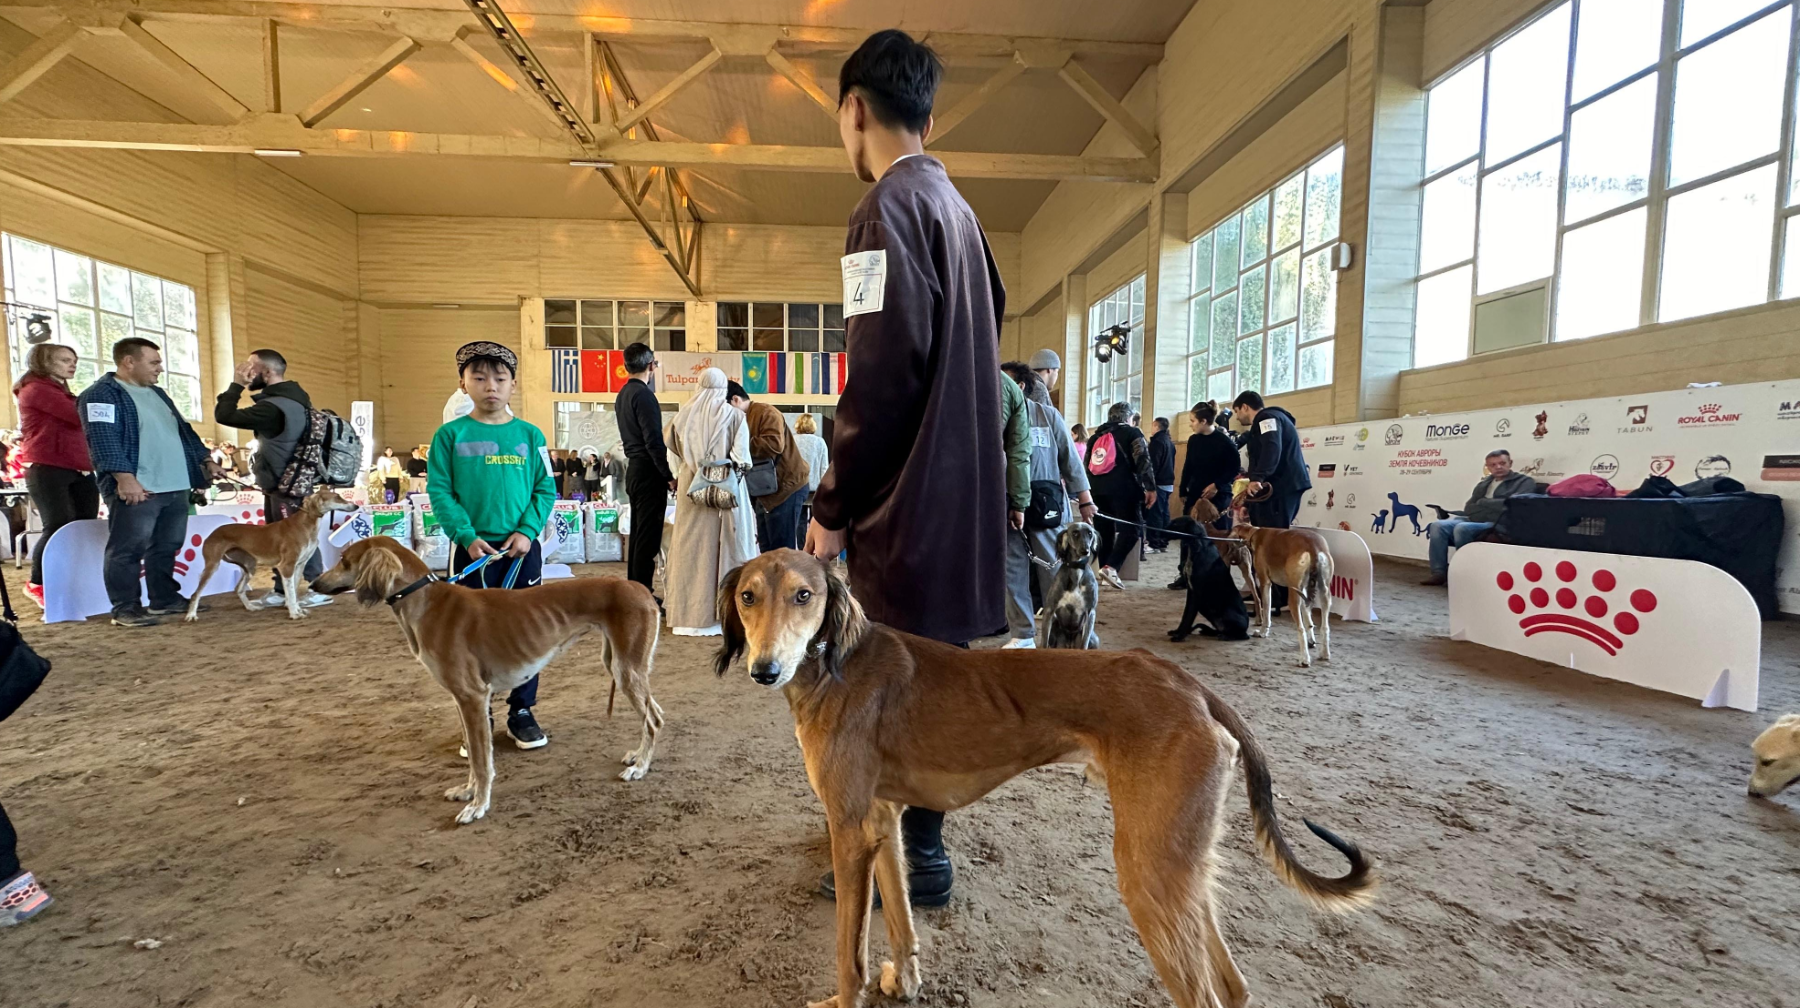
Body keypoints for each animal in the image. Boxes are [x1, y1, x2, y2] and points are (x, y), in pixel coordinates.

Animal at [183, 489, 358, 622]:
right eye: (337, 497)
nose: (356, 505)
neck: (304, 524)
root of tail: (212, 533)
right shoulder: (286, 566)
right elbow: (291, 593)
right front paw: (294, 613)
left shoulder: (299, 565)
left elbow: (293, 591)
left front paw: (297, 609)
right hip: (212, 566)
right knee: (196, 594)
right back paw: (191, 615)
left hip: (249, 567)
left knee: (238, 589)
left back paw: (250, 607)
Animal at [307, 540, 662, 824]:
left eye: (345, 560)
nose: (312, 584)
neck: (426, 601)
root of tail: (642, 589)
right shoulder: (461, 700)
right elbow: (474, 755)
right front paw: (467, 792)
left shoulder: (473, 697)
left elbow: (481, 761)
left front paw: (477, 806)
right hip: (619, 664)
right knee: (655, 714)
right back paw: (636, 756)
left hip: (626, 669)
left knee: (653, 720)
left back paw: (640, 768)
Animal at [709, 550, 1368, 1008]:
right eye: (747, 596)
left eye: (804, 595)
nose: (764, 669)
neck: (836, 664)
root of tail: (1191, 686)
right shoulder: (881, 821)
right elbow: (899, 917)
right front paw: (907, 980)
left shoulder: (847, 832)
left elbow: (850, 960)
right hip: (1181, 869)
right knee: (1232, 987)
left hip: (1148, 873)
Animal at [1224, 522, 1339, 666]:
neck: (1255, 533)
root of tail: (1313, 546)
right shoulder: (1304, 591)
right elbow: (1308, 619)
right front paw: (1311, 640)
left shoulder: (1265, 582)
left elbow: (1266, 610)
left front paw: (1263, 632)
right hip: (1324, 593)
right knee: (1325, 627)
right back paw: (1325, 654)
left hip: (1294, 594)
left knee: (1300, 628)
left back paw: (1304, 659)